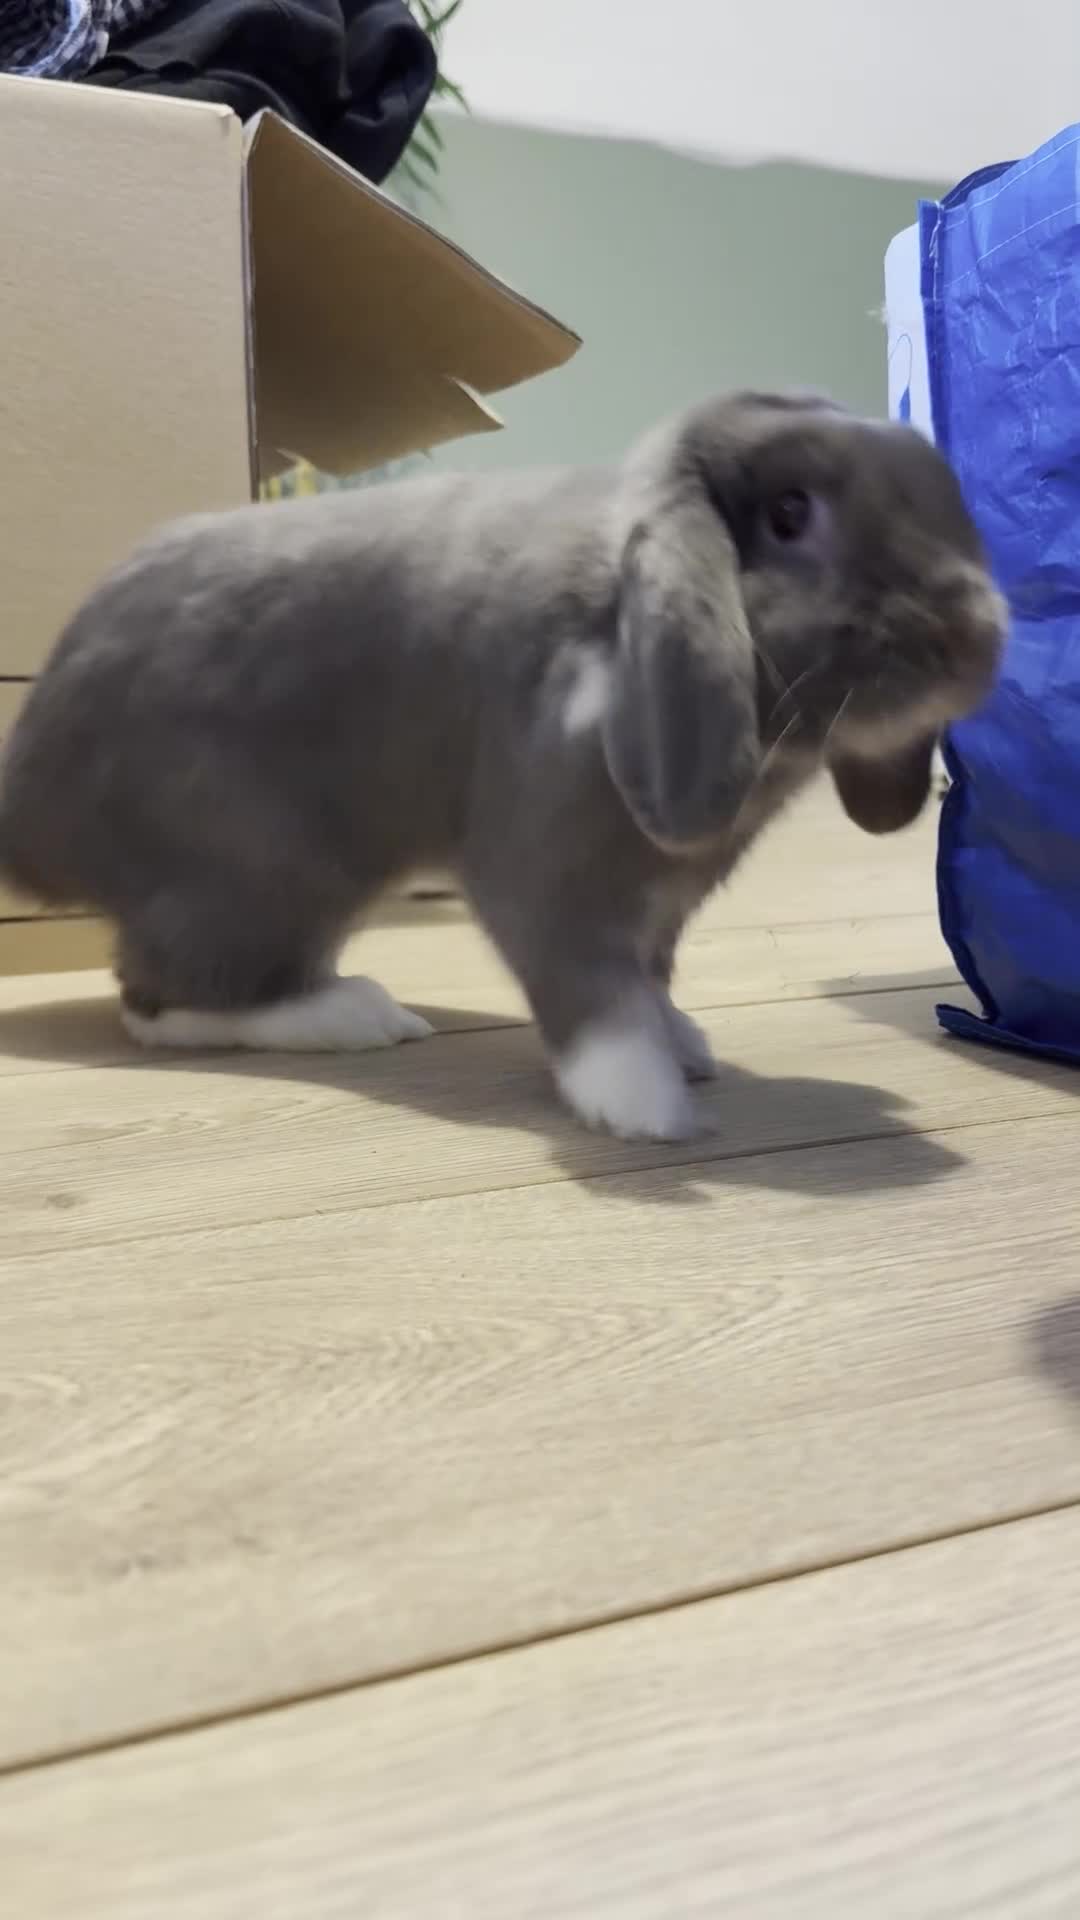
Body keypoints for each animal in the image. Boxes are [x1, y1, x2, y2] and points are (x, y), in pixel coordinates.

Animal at [0, 390, 1005, 1141]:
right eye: (790, 513)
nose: (976, 632)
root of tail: (30, 796)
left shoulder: (659, 912)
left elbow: (649, 980)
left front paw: (685, 1046)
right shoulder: (543, 873)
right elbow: (592, 991)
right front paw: (646, 1106)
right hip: (260, 875)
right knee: (161, 1000)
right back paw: (358, 1016)